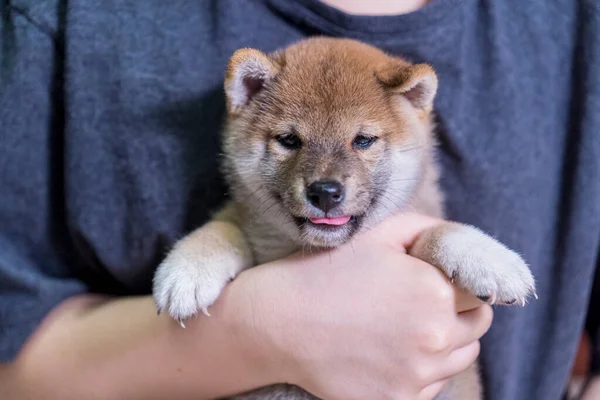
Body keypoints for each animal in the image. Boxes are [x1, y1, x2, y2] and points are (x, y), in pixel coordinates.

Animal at [152, 38, 536, 400]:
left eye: (363, 140)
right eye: (289, 140)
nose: (325, 192)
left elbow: (437, 231)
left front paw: (487, 257)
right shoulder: (245, 221)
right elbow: (221, 227)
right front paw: (189, 268)